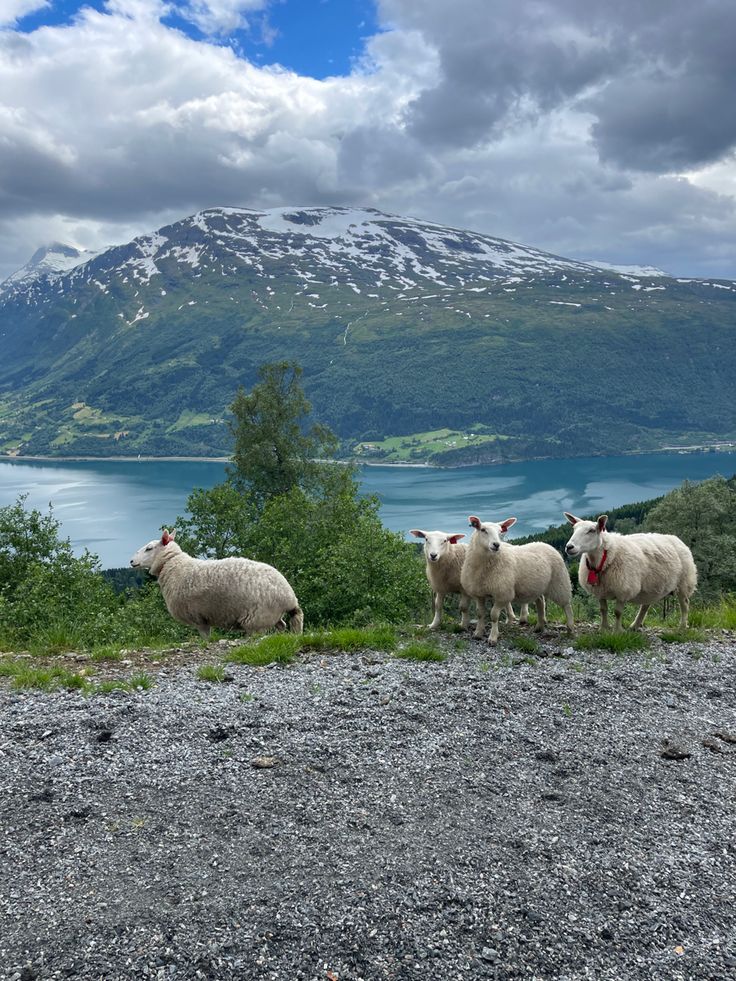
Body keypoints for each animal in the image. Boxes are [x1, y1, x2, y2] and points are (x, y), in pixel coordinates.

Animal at [129, 528, 302, 636]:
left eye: (149, 548)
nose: (131, 561)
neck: (174, 565)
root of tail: (290, 597)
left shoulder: (199, 618)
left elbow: (206, 639)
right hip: (271, 617)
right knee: (282, 626)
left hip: (257, 619)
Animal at [460, 516, 576, 648]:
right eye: (483, 530)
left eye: (500, 532)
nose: (496, 545)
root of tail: (544, 544)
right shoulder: (479, 593)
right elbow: (480, 613)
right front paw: (478, 633)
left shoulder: (503, 594)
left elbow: (494, 615)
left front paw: (493, 637)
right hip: (536, 586)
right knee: (540, 601)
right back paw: (539, 626)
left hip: (559, 582)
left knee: (566, 605)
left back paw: (570, 629)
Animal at [564, 510, 696, 632]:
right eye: (574, 529)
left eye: (591, 530)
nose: (569, 547)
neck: (606, 557)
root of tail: (677, 539)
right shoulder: (600, 590)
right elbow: (603, 610)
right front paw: (603, 628)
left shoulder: (623, 588)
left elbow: (617, 612)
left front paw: (617, 631)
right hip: (652, 585)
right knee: (645, 605)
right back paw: (635, 625)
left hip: (684, 582)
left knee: (685, 604)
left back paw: (682, 626)